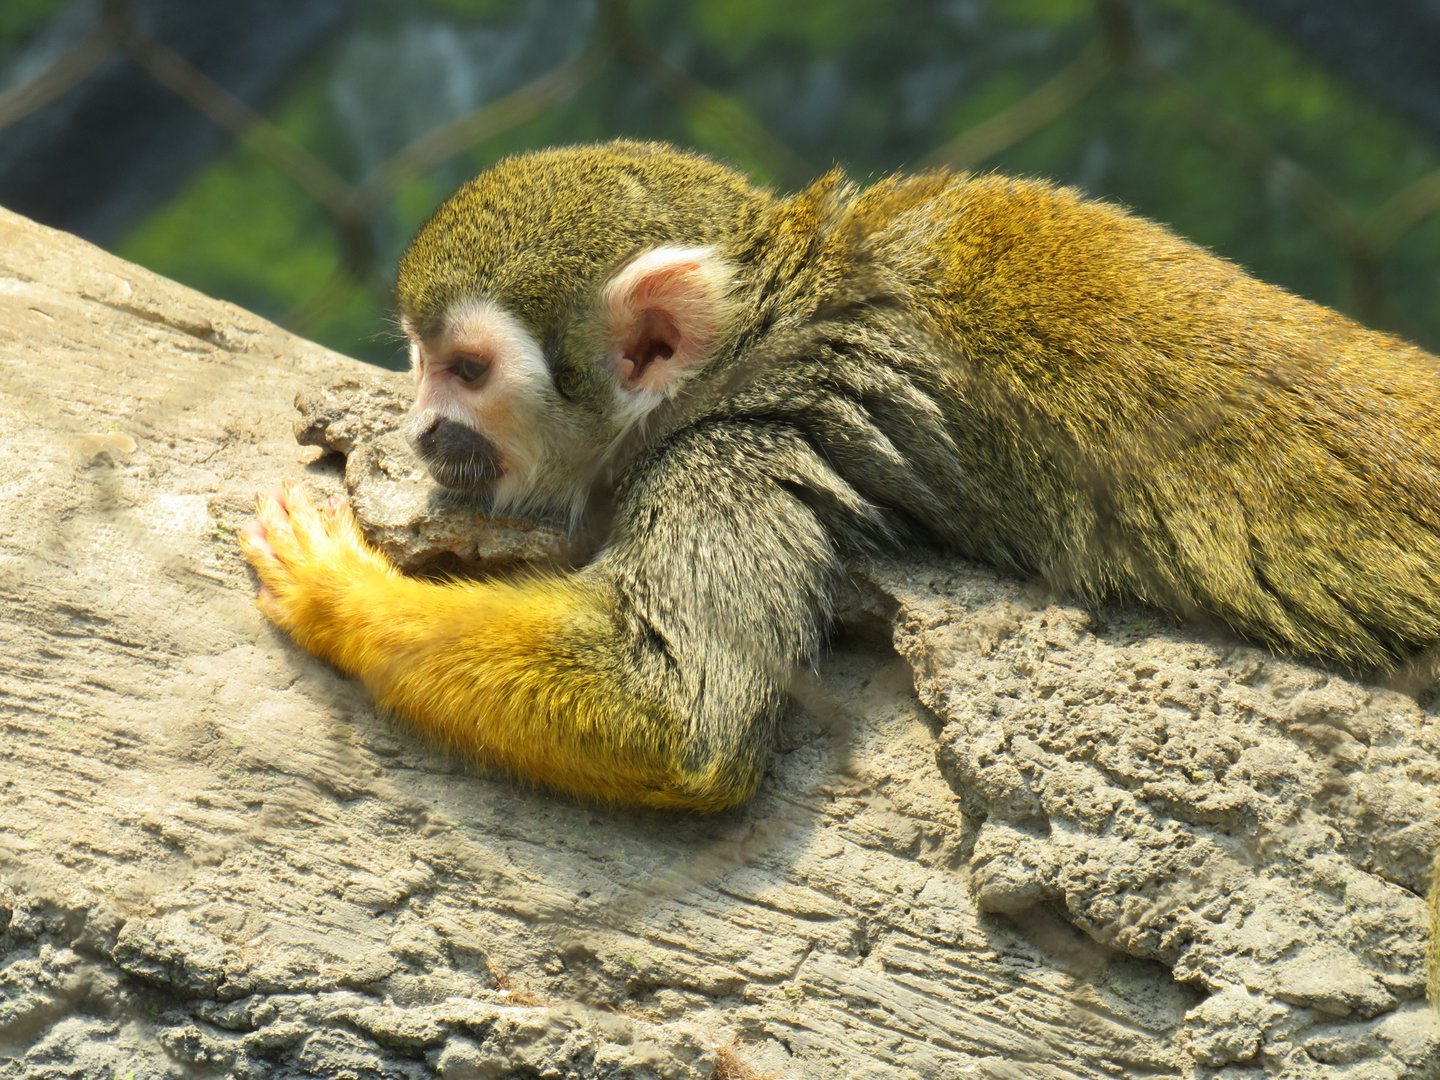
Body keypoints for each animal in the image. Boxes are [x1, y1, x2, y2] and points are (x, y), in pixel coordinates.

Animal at [240, 140, 1440, 823]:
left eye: (469, 371)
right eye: (417, 358)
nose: (424, 427)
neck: (772, 320)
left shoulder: (732, 455)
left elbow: (682, 714)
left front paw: (341, 596)